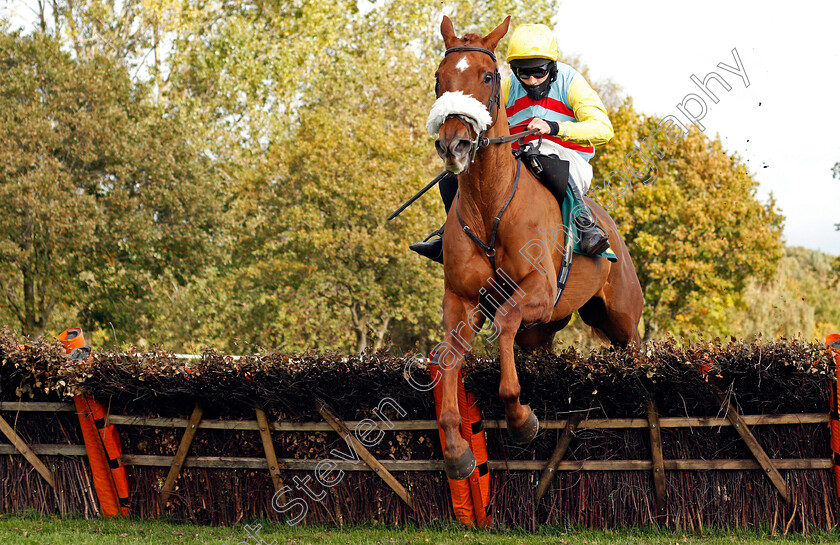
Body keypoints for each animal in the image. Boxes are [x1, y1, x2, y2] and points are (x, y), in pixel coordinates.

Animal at [430, 14, 648, 478]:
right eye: (440, 78)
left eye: (488, 75)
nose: (454, 144)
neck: (489, 204)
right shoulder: (461, 299)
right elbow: (448, 356)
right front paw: (456, 449)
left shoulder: (540, 291)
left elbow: (506, 320)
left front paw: (520, 418)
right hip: (544, 331)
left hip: (621, 318)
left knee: (633, 346)